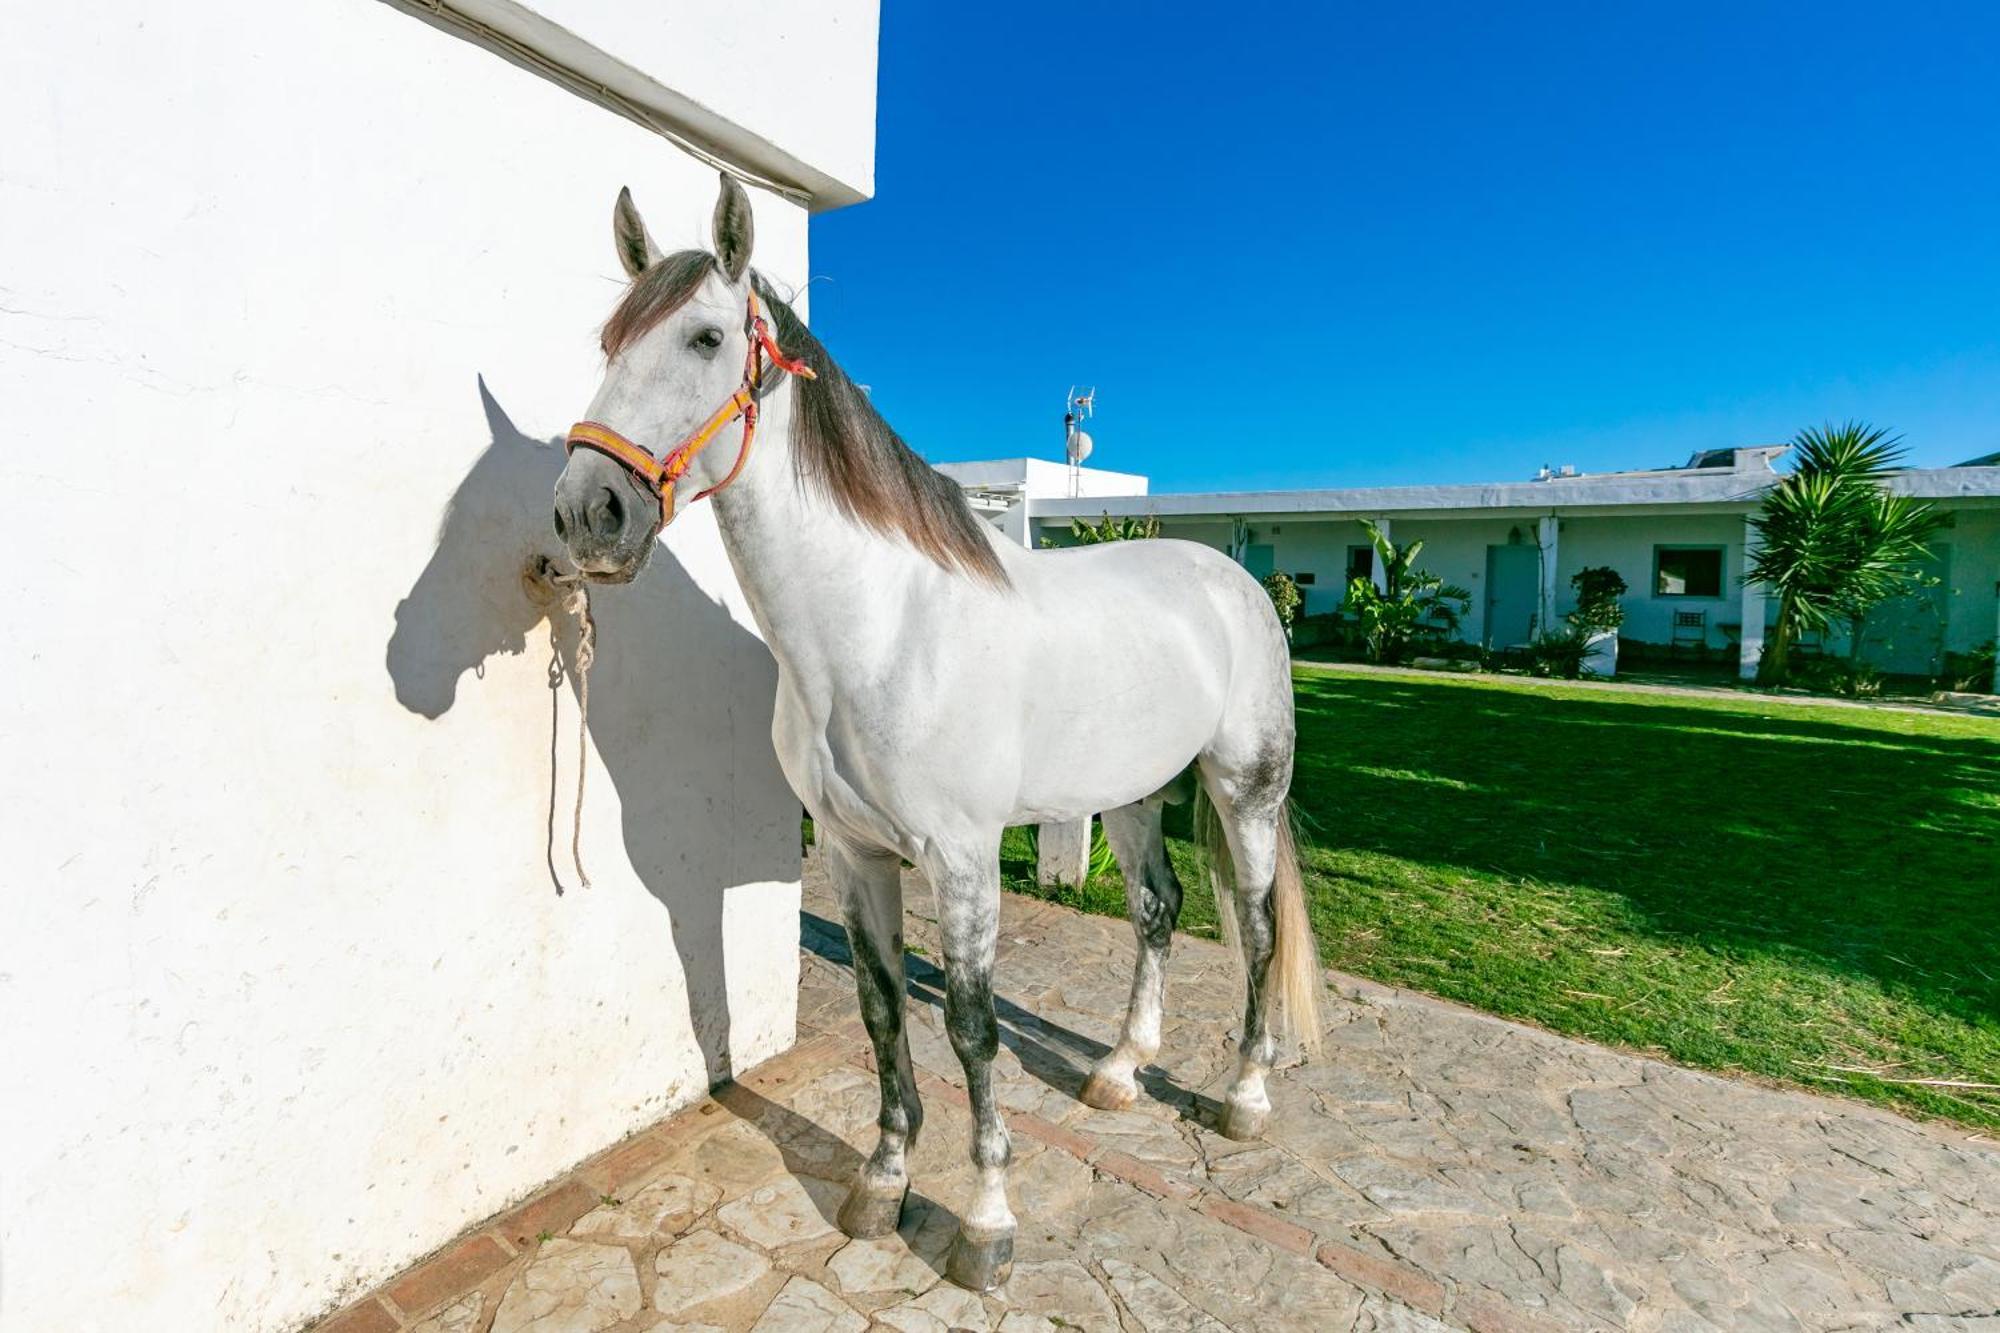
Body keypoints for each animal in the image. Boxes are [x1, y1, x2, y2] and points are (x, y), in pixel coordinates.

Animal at [556, 176, 1320, 1288]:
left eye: (704, 339)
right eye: (609, 343)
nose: (587, 513)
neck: (878, 631)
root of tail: (1233, 581)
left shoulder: (962, 860)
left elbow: (970, 1026)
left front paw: (987, 1223)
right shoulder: (852, 852)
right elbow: (883, 1011)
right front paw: (882, 1184)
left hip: (1245, 791)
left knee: (1255, 932)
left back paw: (1245, 1096)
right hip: (1129, 795)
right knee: (1158, 909)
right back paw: (1120, 1069)